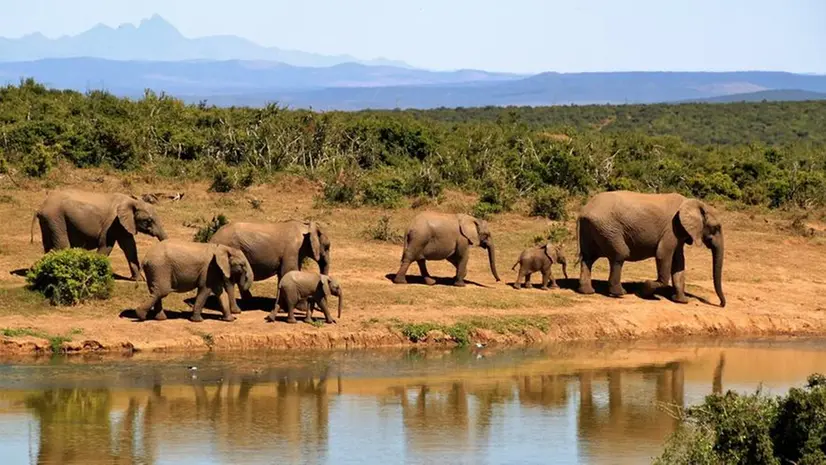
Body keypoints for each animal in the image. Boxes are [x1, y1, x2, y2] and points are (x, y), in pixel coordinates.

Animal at [32, 188, 167, 280]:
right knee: (61, 245)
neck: (132, 201)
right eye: (148, 220)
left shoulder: (124, 224)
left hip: (49, 221)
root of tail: (40, 207)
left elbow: (129, 247)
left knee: (48, 246)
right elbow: (106, 246)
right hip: (55, 218)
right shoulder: (113, 222)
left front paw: (138, 280)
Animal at [572, 190, 720, 306]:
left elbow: (679, 263)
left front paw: (681, 301)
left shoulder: (678, 233)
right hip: (608, 229)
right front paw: (645, 290)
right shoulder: (671, 229)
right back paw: (620, 293)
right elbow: (663, 255)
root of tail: (583, 211)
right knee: (620, 254)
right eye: (716, 228)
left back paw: (587, 292)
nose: (721, 304)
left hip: (593, 228)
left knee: (588, 258)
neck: (692, 203)